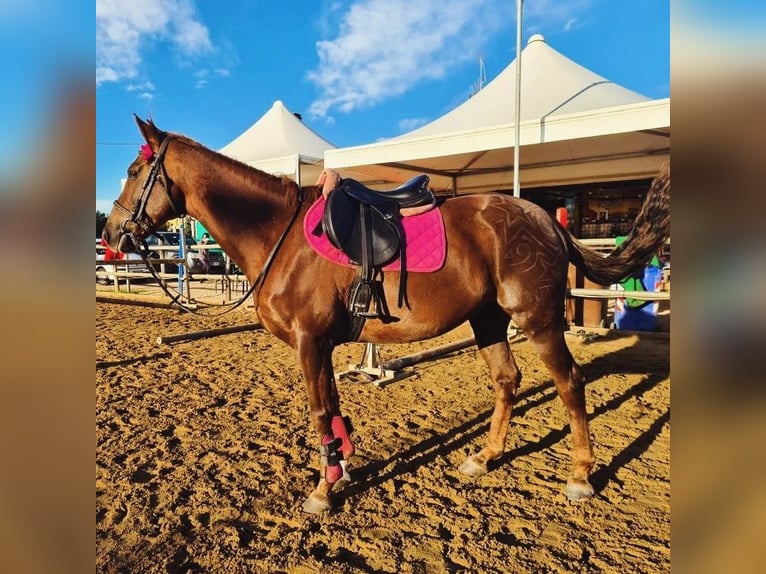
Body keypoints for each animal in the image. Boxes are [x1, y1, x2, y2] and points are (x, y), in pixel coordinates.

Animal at [103, 116, 672, 512]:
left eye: (133, 171)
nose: (111, 233)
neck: (280, 234)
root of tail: (547, 220)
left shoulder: (310, 342)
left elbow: (318, 412)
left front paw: (323, 491)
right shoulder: (322, 346)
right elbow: (332, 408)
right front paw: (341, 470)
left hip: (537, 319)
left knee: (570, 382)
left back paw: (579, 475)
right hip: (488, 321)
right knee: (507, 381)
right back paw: (484, 458)